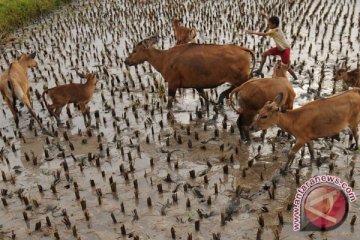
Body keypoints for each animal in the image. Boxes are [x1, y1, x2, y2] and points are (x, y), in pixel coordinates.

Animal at [125, 35, 255, 107]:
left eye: (135, 50)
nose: (126, 61)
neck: (164, 58)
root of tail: (243, 49)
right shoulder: (197, 85)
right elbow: (205, 98)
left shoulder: (173, 83)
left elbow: (169, 104)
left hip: (240, 78)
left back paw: (222, 96)